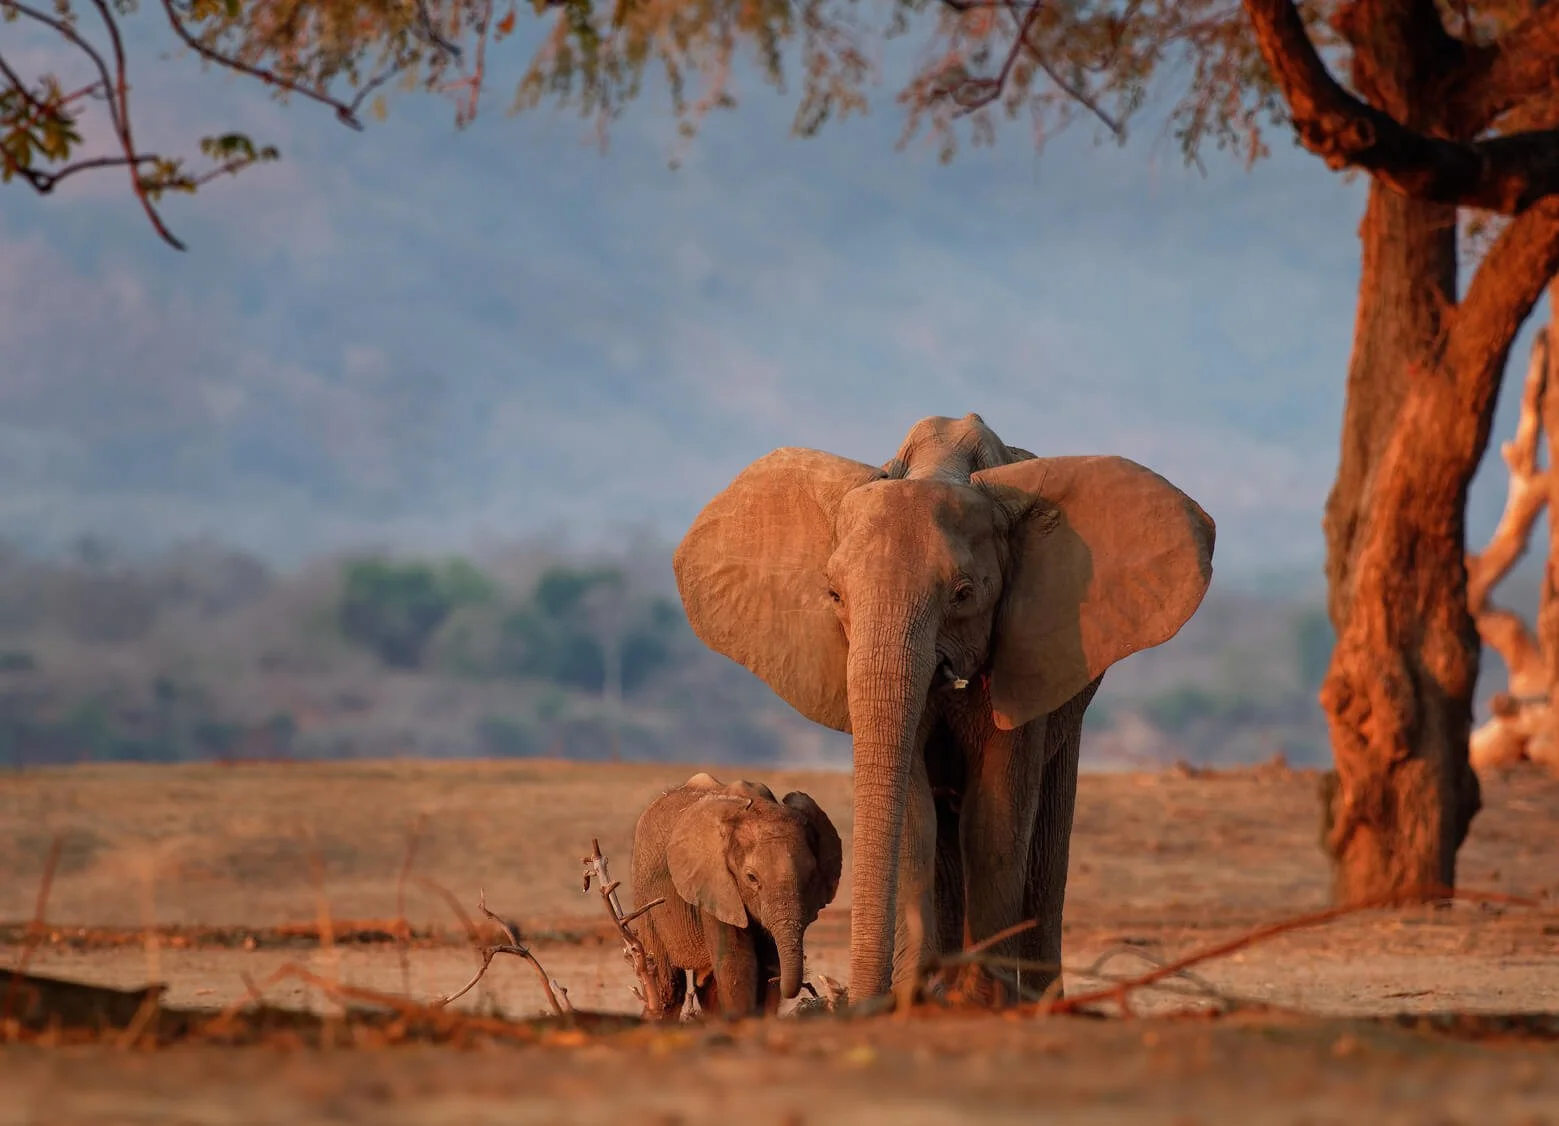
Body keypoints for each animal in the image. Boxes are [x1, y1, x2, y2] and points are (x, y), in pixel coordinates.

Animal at [630, 772, 843, 1019]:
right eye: (751, 877)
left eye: (811, 876)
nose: (781, 981)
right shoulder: (715, 884)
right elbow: (737, 964)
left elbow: (765, 962)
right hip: (645, 895)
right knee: (670, 986)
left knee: (707, 988)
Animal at [672, 413, 1215, 1005]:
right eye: (834, 595)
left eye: (963, 593)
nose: (852, 999)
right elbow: (917, 816)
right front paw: (920, 997)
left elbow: (996, 815)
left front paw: (981, 1003)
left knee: (1046, 845)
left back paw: (1038, 1001)